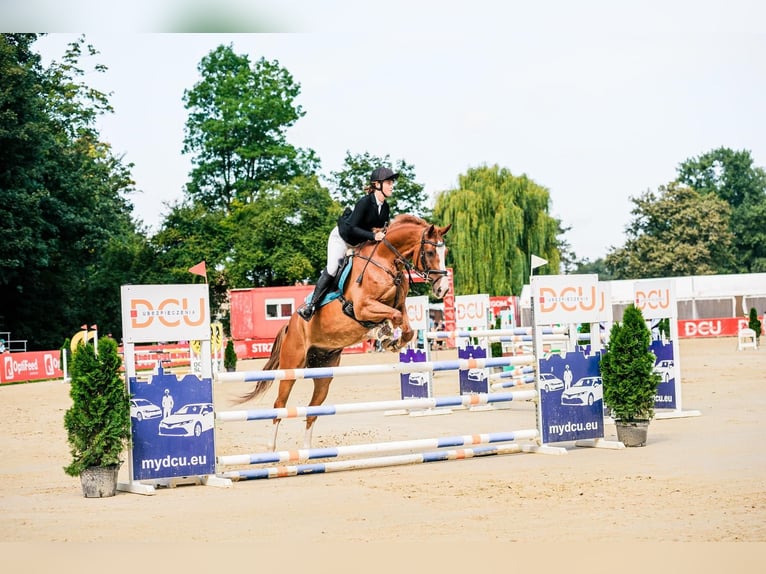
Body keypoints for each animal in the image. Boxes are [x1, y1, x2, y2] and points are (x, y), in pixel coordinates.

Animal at [236, 214, 450, 452]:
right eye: (430, 252)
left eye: (446, 252)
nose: (442, 289)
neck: (384, 261)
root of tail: (289, 325)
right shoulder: (362, 307)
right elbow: (392, 316)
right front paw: (383, 333)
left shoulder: (400, 305)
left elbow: (407, 327)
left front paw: (391, 341)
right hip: (291, 366)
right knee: (279, 405)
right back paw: (272, 449)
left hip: (324, 373)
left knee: (312, 410)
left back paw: (307, 453)